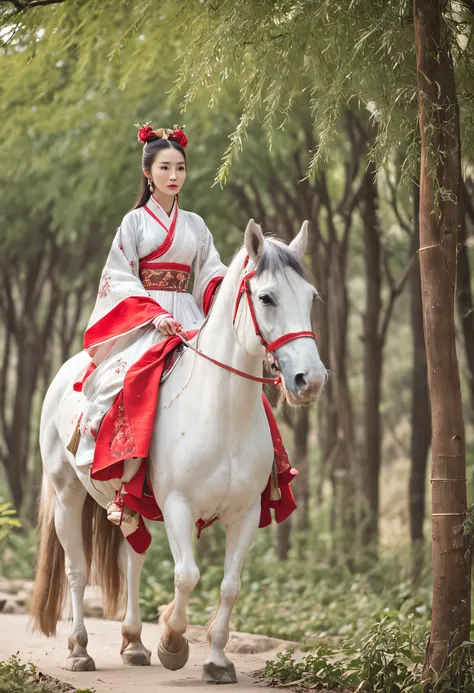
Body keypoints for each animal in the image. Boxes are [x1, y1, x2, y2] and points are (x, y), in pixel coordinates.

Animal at [29, 220, 326, 680]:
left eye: (311, 297)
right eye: (266, 297)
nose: (309, 380)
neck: (221, 414)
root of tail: (67, 372)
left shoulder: (245, 512)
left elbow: (230, 585)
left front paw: (217, 660)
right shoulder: (177, 504)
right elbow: (187, 575)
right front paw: (172, 640)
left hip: (128, 503)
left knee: (132, 558)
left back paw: (134, 642)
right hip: (66, 492)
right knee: (77, 569)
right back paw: (79, 649)